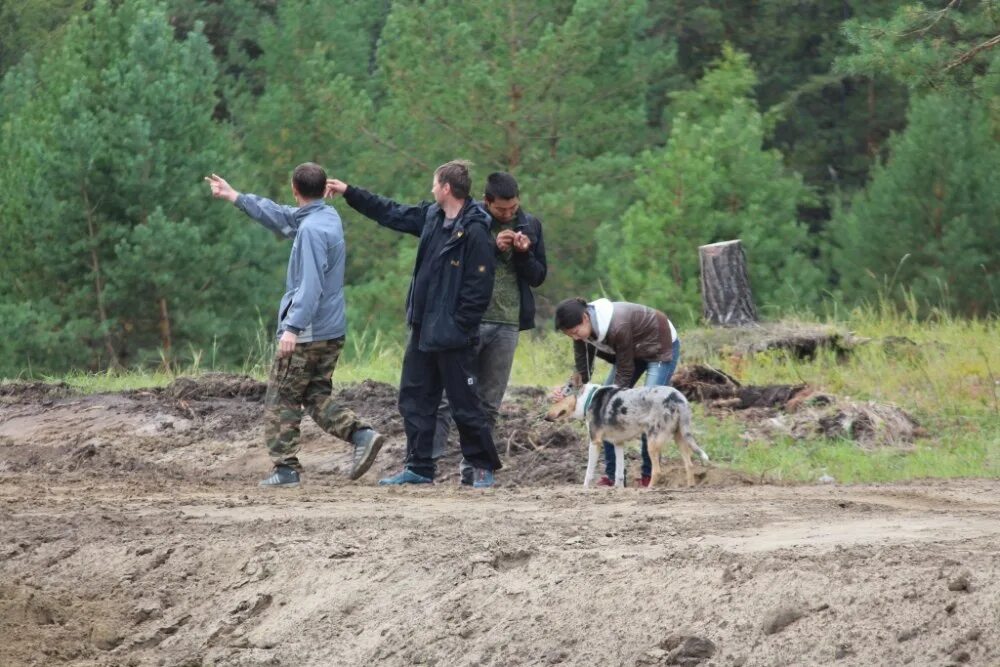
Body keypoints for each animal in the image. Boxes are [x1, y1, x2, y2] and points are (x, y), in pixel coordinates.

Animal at [548, 380, 712, 490]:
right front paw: (618, 489)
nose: (545, 417)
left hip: (652, 442)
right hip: (680, 437)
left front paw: (585, 488)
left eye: (558, 399)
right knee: (689, 465)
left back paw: (649, 489)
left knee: (657, 471)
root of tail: (677, 397)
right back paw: (690, 487)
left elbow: (589, 472)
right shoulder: (618, 443)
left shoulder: (595, 442)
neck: (587, 399)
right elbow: (619, 472)